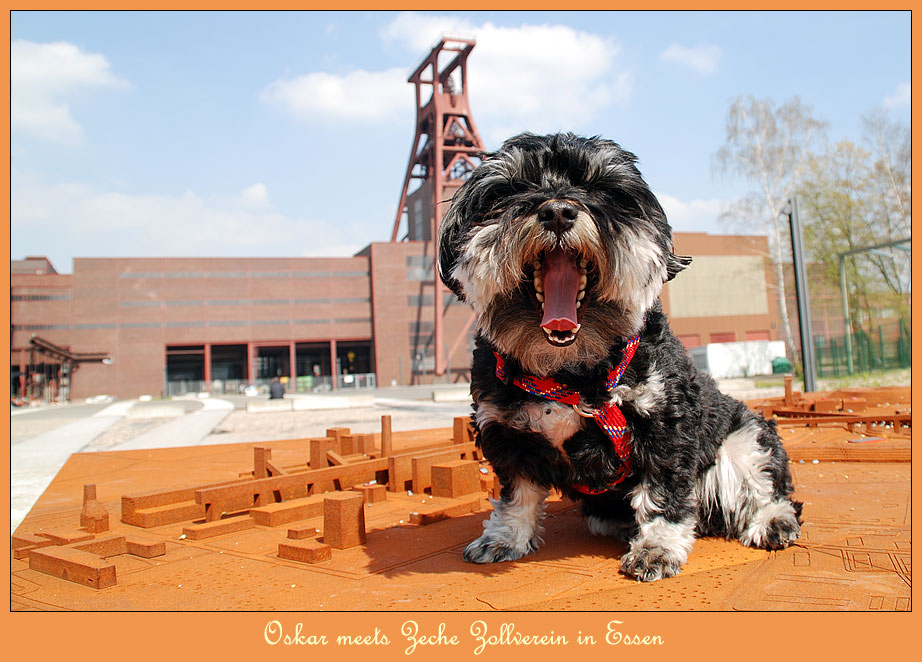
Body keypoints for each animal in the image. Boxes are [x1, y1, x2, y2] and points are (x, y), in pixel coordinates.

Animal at [436, 132, 796, 584]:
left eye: (601, 188)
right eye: (511, 189)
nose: (557, 211)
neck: (570, 373)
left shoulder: (668, 427)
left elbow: (664, 496)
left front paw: (657, 548)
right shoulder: (507, 433)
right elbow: (516, 494)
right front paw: (504, 538)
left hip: (745, 439)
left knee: (764, 487)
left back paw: (773, 521)